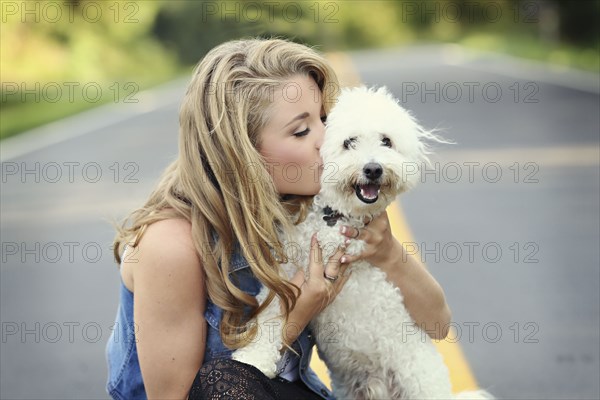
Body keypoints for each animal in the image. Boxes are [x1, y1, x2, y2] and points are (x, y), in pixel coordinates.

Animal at [233, 86, 492, 398]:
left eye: (386, 141)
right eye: (349, 142)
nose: (373, 169)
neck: (334, 218)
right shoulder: (287, 274)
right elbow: (270, 314)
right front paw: (251, 359)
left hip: (419, 383)